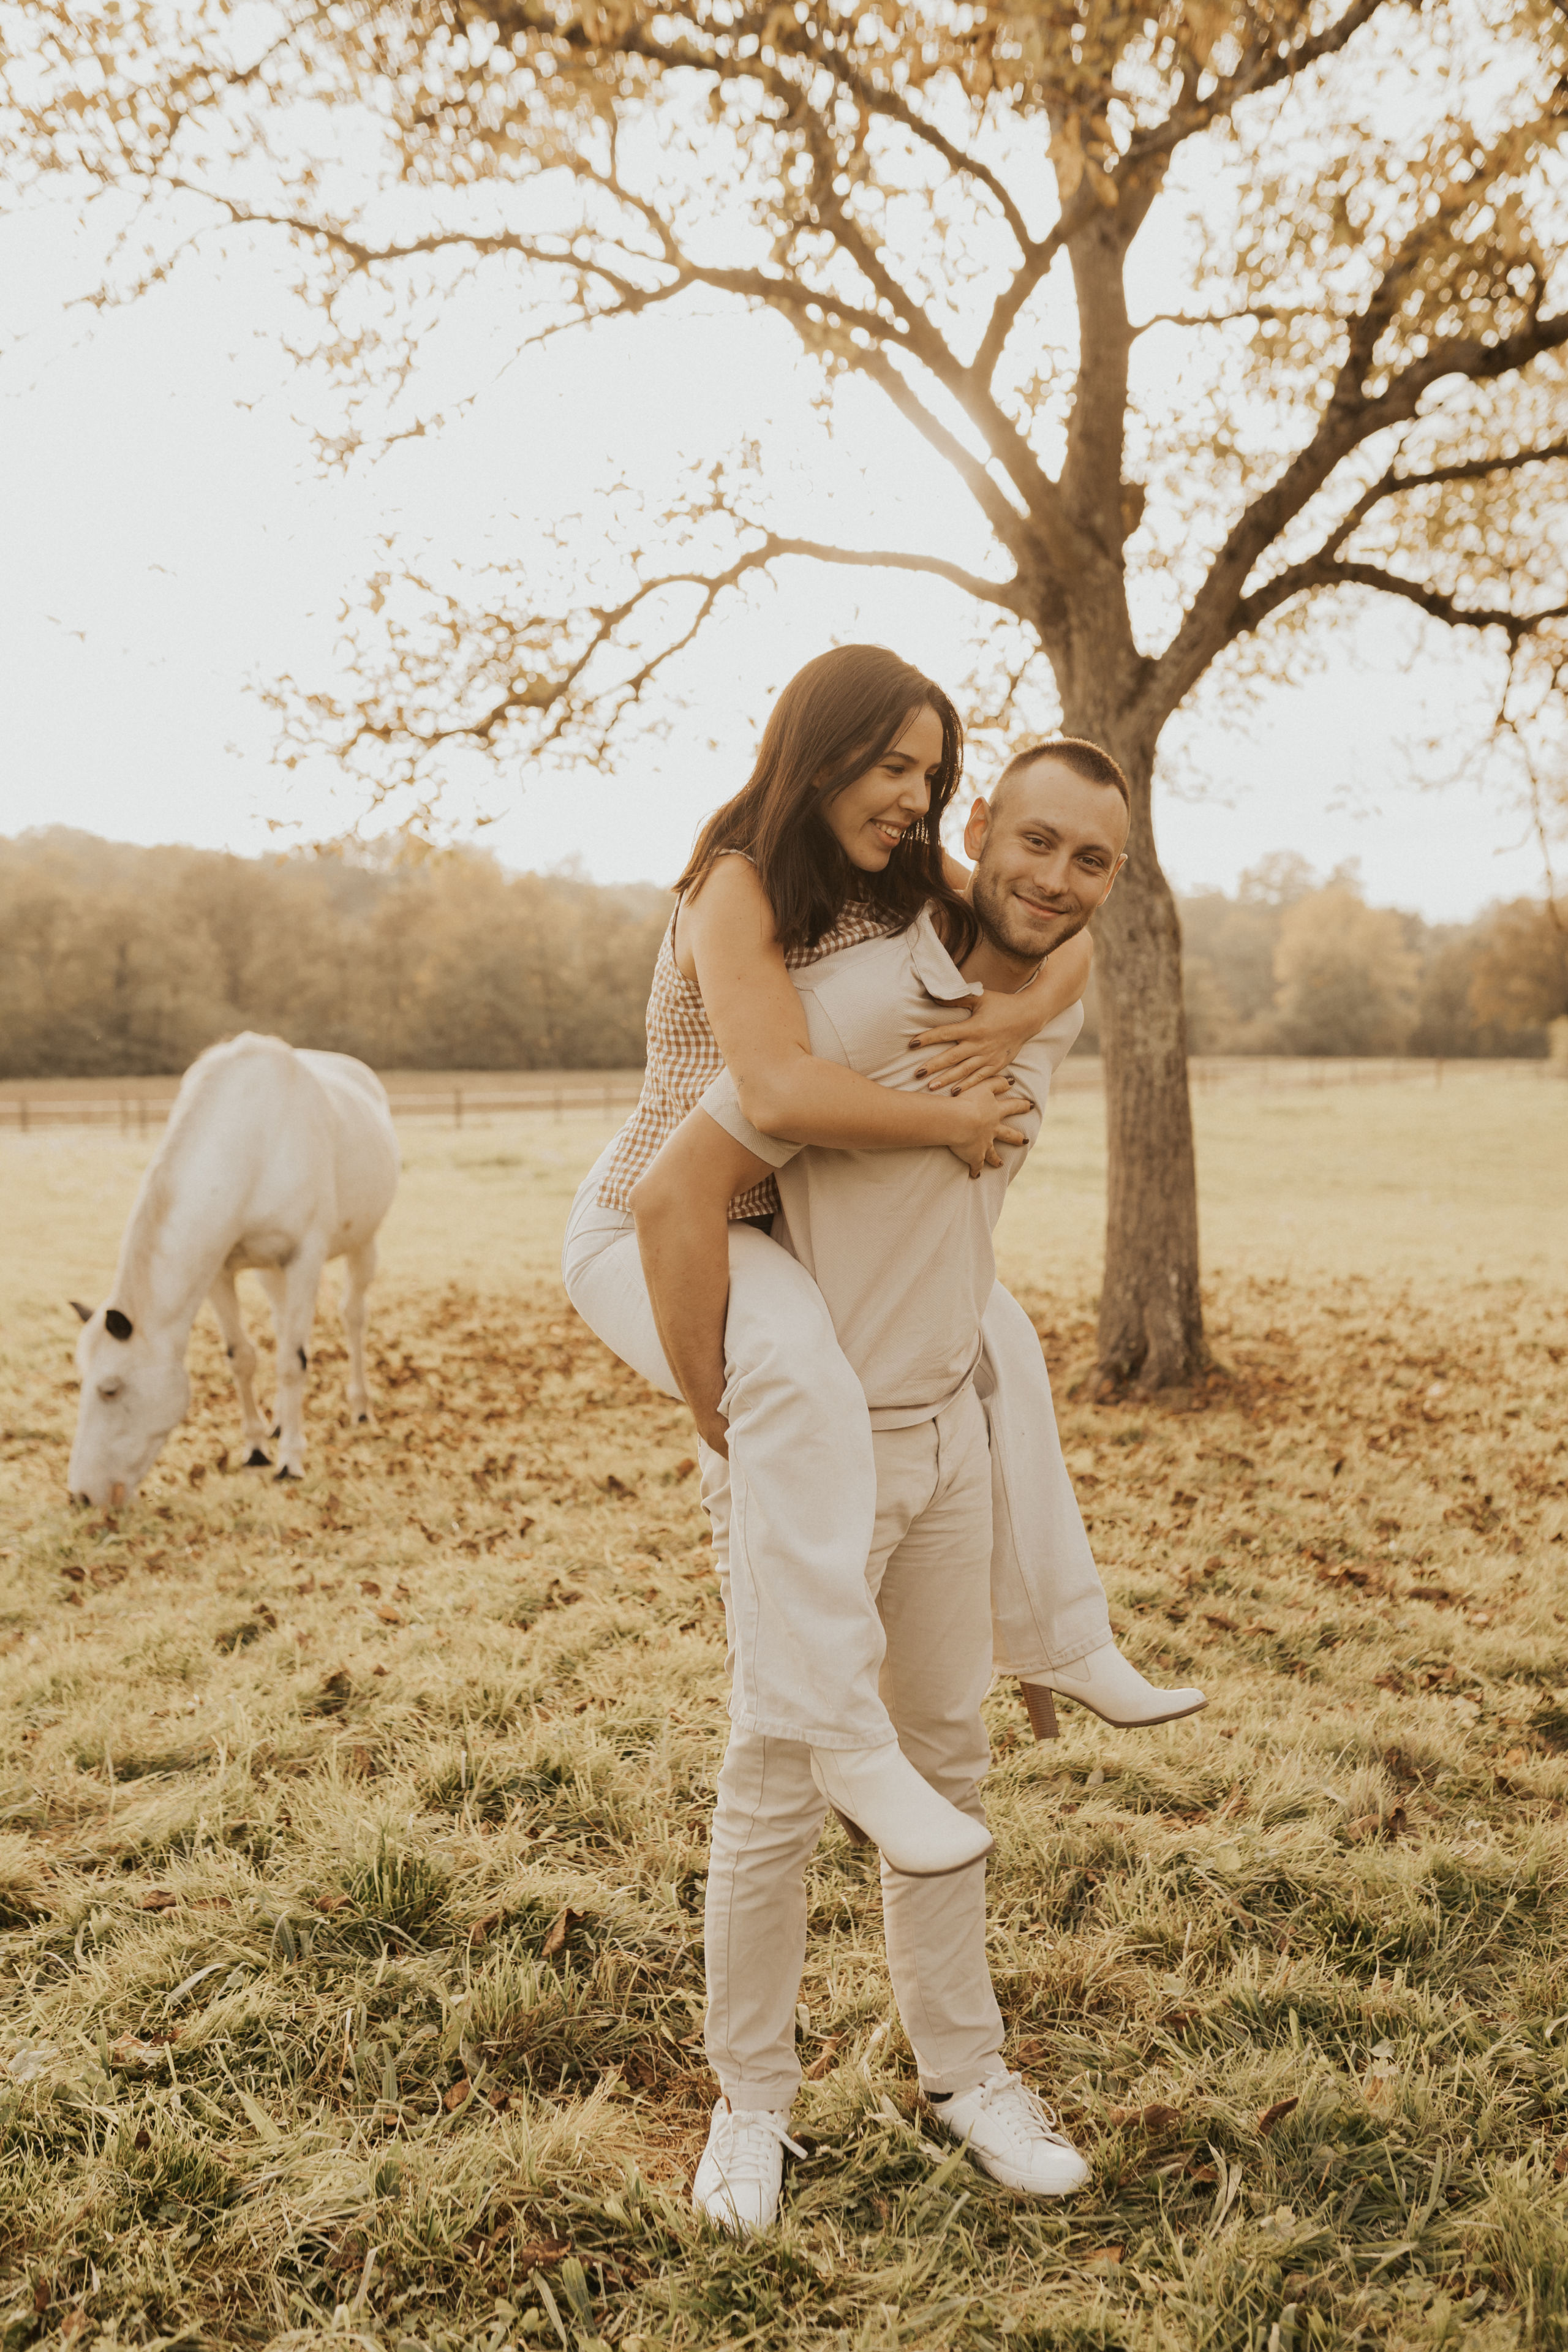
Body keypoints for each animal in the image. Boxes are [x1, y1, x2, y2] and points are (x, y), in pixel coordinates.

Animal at [68, 1033, 400, 1506]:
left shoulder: (305, 1259)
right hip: (269, 1271)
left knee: (352, 1316)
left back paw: (359, 1409)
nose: (81, 1496)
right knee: (282, 1323)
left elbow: (291, 1362)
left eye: (111, 1389)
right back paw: (280, 1420)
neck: (252, 1142)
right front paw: (258, 1449)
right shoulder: (219, 1272)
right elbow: (242, 1357)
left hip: (362, 1245)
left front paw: (290, 1461)